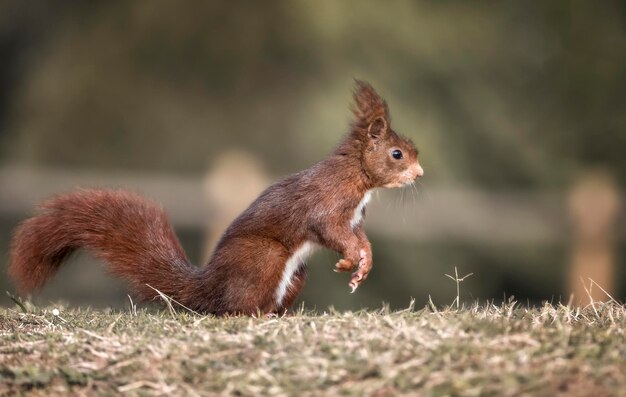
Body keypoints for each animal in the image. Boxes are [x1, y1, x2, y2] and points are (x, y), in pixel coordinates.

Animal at [8, 81, 420, 316]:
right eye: (397, 154)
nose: (419, 174)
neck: (359, 179)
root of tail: (208, 288)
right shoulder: (329, 204)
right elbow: (332, 231)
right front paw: (350, 260)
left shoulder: (355, 217)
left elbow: (361, 238)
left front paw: (363, 266)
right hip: (264, 259)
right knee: (236, 307)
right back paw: (253, 316)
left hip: (294, 274)